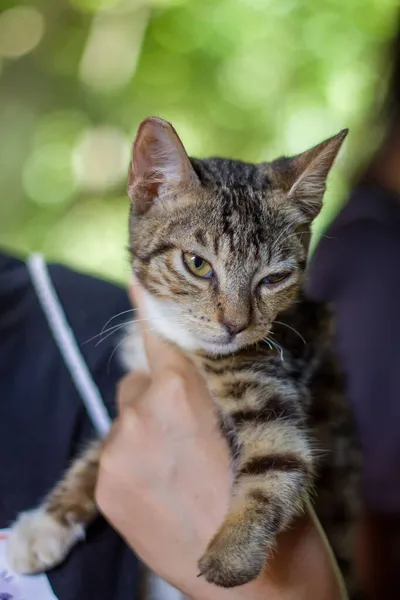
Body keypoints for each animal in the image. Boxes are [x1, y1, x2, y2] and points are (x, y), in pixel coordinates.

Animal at [5, 117, 360, 596]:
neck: (183, 342)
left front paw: (231, 555)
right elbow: (102, 446)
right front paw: (48, 523)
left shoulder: (276, 371)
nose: (235, 325)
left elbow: (280, 457)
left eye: (274, 278)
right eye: (197, 264)